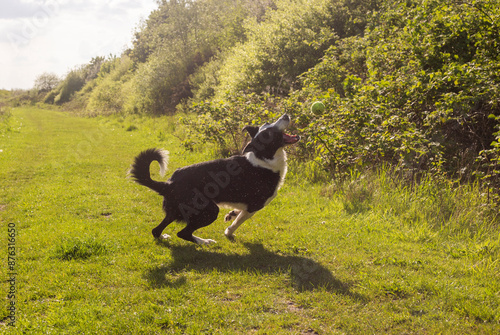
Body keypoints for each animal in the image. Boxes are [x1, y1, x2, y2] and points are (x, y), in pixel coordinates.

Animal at [130, 114, 300, 245]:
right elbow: (238, 222)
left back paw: (165, 237)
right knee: (183, 233)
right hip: (210, 210)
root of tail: (169, 184)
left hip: (175, 212)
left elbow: (238, 212)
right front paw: (229, 232)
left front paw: (231, 213)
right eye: (269, 131)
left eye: (267, 124)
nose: (285, 115)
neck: (264, 159)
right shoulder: (255, 206)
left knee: (156, 230)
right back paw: (204, 242)